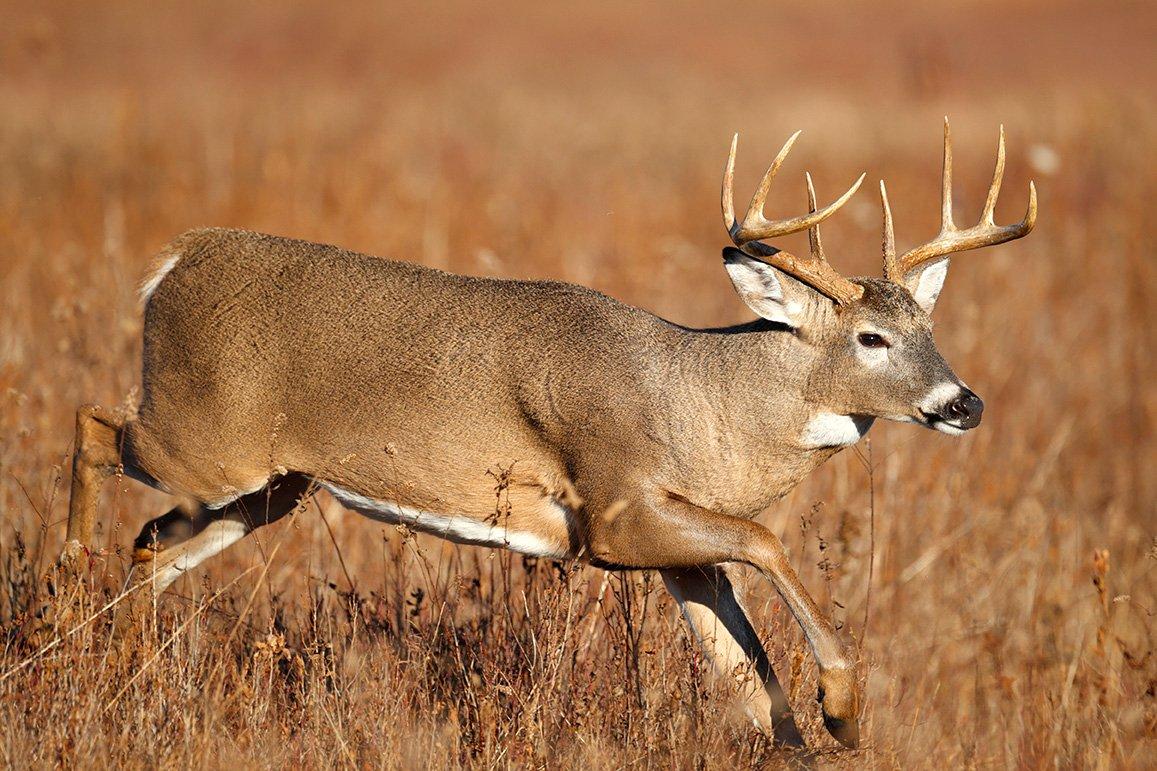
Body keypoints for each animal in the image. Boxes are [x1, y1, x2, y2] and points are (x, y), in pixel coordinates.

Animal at [67, 118, 1036, 745]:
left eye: (927, 326)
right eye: (870, 338)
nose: (962, 403)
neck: (701, 403)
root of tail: (174, 259)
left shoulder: (679, 553)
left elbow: (750, 684)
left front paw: (816, 715)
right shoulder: (611, 512)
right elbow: (766, 543)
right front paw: (844, 701)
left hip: (270, 486)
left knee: (153, 546)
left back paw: (111, 655)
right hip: (204, 437)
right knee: (94, 424)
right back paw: (70, 577)